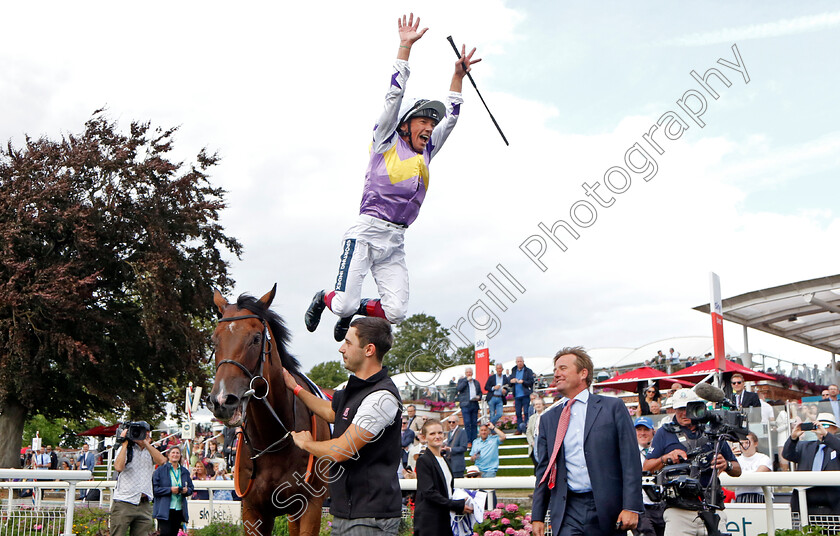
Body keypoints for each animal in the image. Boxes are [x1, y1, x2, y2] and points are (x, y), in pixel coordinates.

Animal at [205, 286, 330, 536]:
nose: (222, 400)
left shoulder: (310, 505)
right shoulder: (253, 509)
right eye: (214, 340)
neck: (273, 438)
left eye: (255, 338)